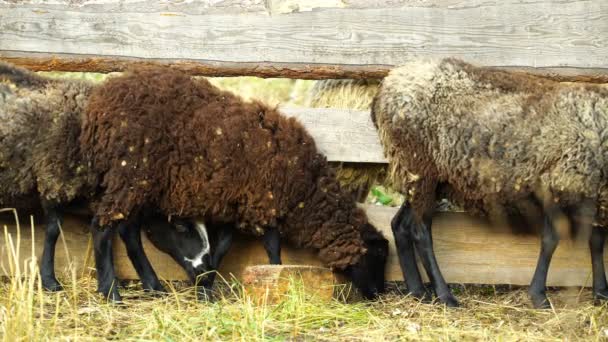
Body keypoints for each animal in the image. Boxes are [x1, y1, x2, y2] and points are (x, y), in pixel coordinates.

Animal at [79, 67, 390, 302]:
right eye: (378, 256)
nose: (378, 294)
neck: (307, 190)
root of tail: (100, 102)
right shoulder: (264, 202)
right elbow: (272, 246)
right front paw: (275, 274)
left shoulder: (235, 202)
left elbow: (223, 244)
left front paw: (207, 284)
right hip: (129, 174)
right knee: (103, 229)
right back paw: (111, 293)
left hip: (140, 184)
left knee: (128, 231)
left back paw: (153, 286)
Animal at [370, 57, 608, 308]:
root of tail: (387, 83)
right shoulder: (557, 184)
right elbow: (551, 240)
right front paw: (538, 296)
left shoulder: (598, 195)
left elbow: (597, 242)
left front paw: (601, 292)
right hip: (420, 165)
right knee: (420, 232)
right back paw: (445, 296)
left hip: (428, 178)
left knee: (400, 225)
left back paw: (418, 292)